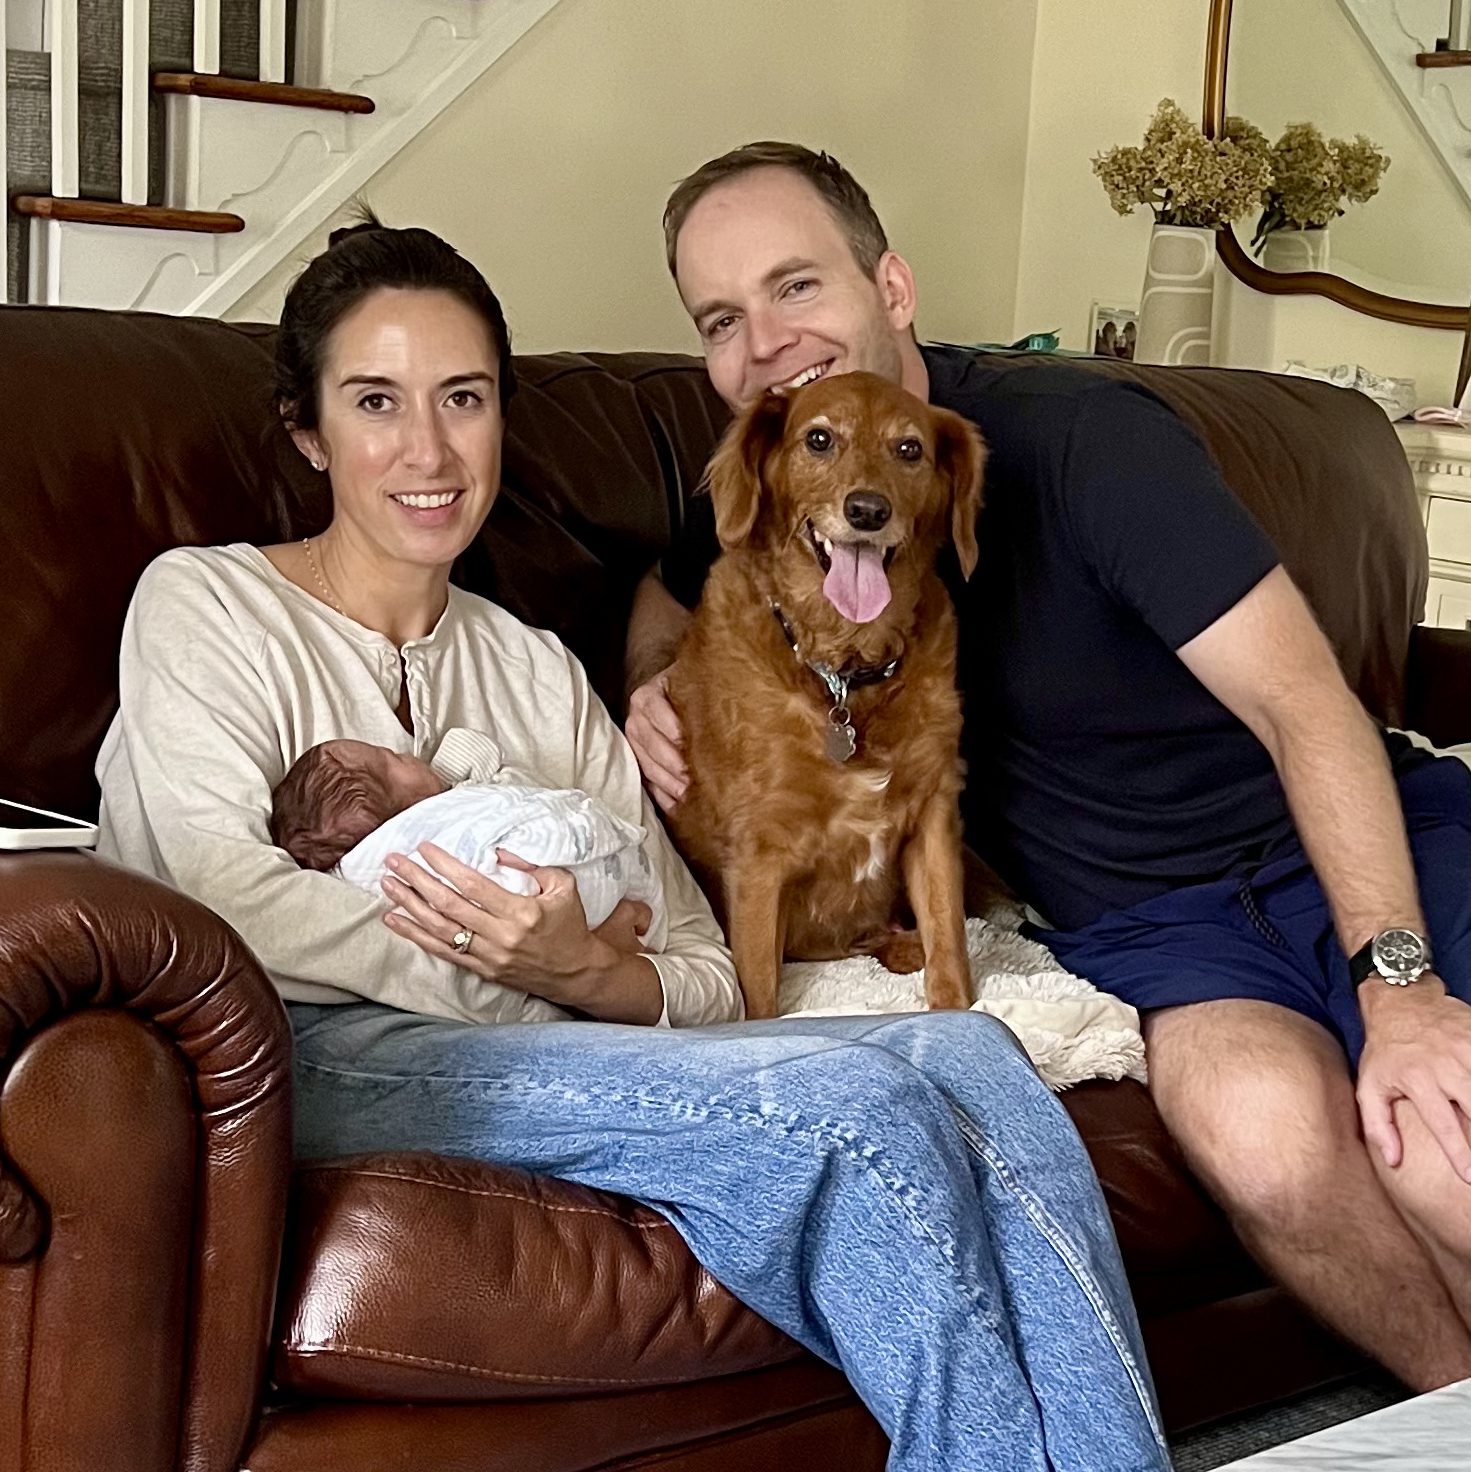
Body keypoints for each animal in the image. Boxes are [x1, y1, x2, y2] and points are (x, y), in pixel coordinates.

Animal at [667, 370, 986, 1019]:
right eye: (818, 439)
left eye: (909, 449)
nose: (867, 510)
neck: (844, 670)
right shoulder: (760, 853)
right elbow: (758, 991)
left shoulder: (934, 815)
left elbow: (949, 939)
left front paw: (953, 1003)